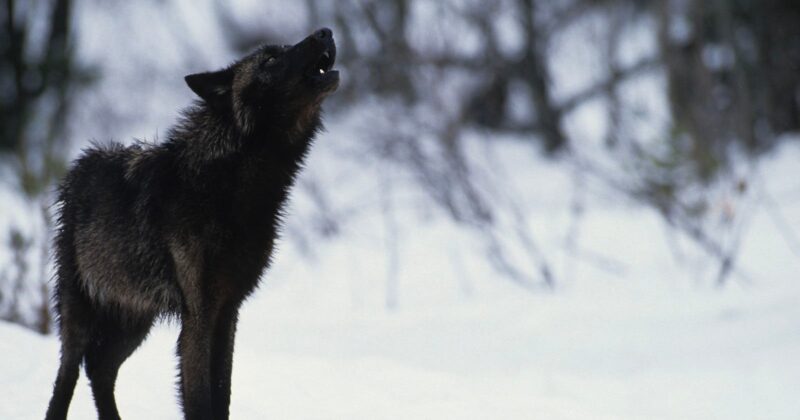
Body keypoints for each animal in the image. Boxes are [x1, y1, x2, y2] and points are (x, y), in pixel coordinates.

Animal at [44, 28, 339, 420]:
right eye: (270, 60)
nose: (326, 32)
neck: (230, 190)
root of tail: (78, 166)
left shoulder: (228, 310)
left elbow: (222, 393)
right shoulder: (199, 314)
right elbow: (200, 400)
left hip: (134, 317)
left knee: (100, 368)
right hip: (79, 314)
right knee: (69, 374)